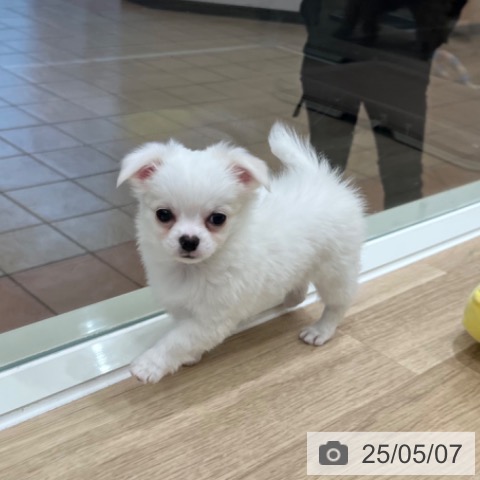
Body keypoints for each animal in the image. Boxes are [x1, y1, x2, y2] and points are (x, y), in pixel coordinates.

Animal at [117, 123, 365, 383]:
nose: (189, 240)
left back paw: (321, 330)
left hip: (336, 270)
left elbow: (177, 341)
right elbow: (183, 336)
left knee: (337, 304)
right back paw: (290, 299)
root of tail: (322, 178)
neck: (192, 270)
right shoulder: (183, 309)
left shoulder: (211, 319)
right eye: (163, 214)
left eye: (218, 218)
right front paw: (189, 357)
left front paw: (149, 365)